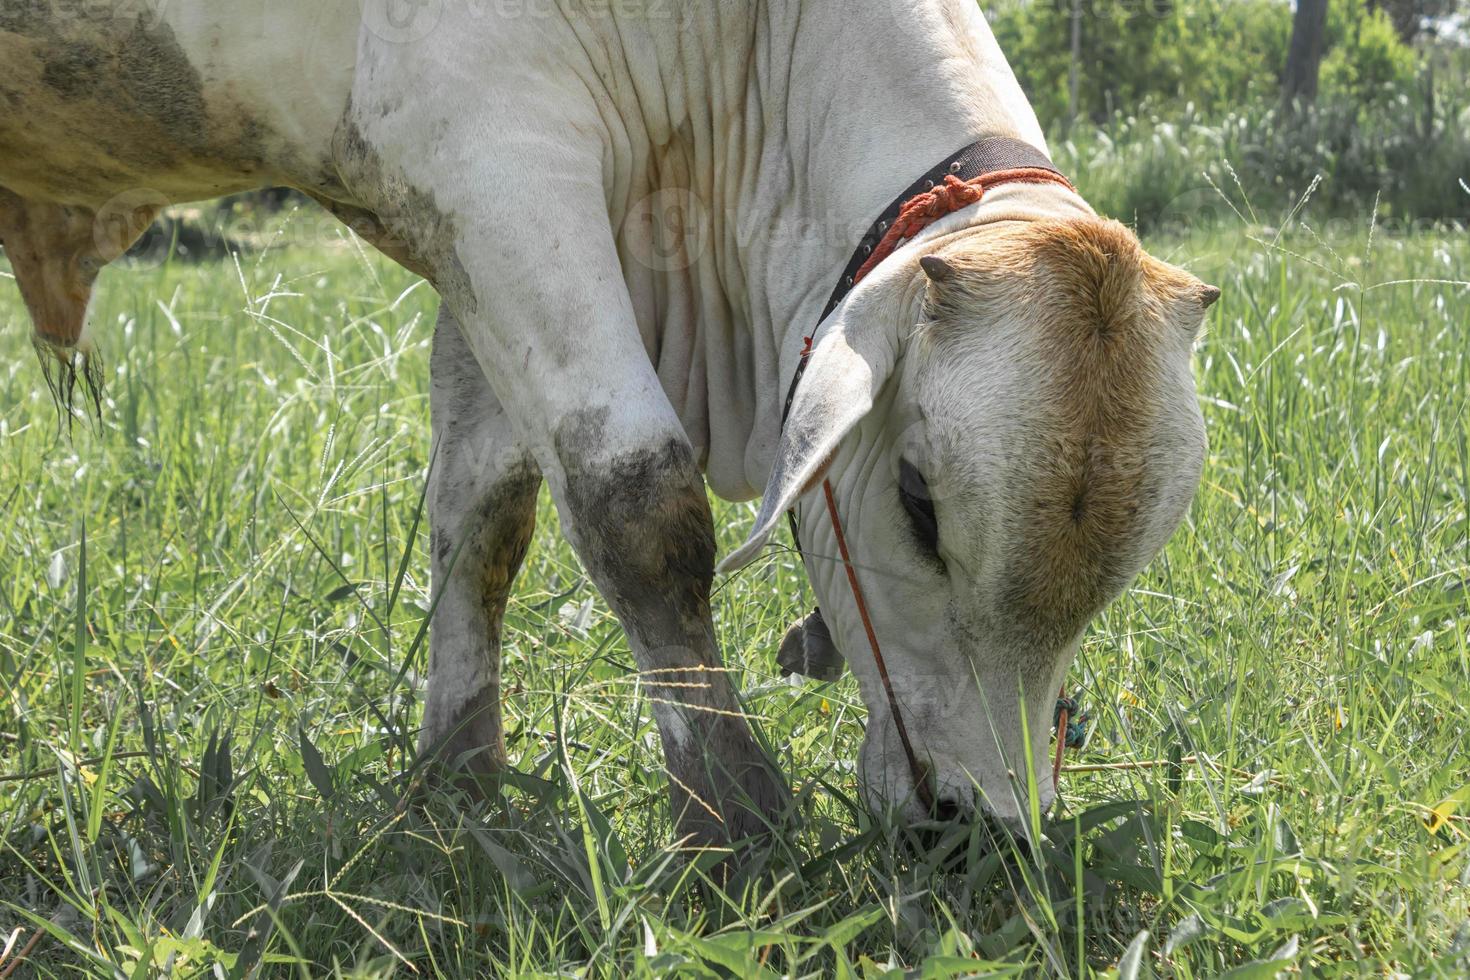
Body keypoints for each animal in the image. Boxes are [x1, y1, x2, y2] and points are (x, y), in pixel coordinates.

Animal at [0, 0, 1217, 846]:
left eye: (1122, 573)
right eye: (919, 506)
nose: (986, 829)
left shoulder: (476, 244)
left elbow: (483, 513)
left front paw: (460, 776)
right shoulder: (499, 170)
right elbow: (639, 506)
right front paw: (734, 813)